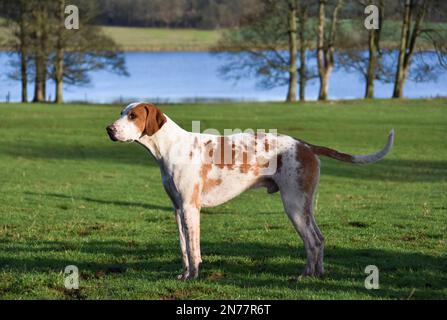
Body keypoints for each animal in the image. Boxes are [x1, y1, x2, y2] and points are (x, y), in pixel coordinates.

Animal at [107, 102, 394, 280]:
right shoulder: (178, 209)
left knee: (312, 241)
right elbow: (183, 248)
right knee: (320, 239)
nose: (109, 129)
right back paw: (318, 274)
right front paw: (184, 274)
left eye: (133, 116)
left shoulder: (190, 208)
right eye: (121, 113)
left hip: (293, 206)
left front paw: (194, 277)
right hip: (304, 206)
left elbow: (194, 248)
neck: (170, 147)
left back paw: (304, 276)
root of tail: (306, 145)